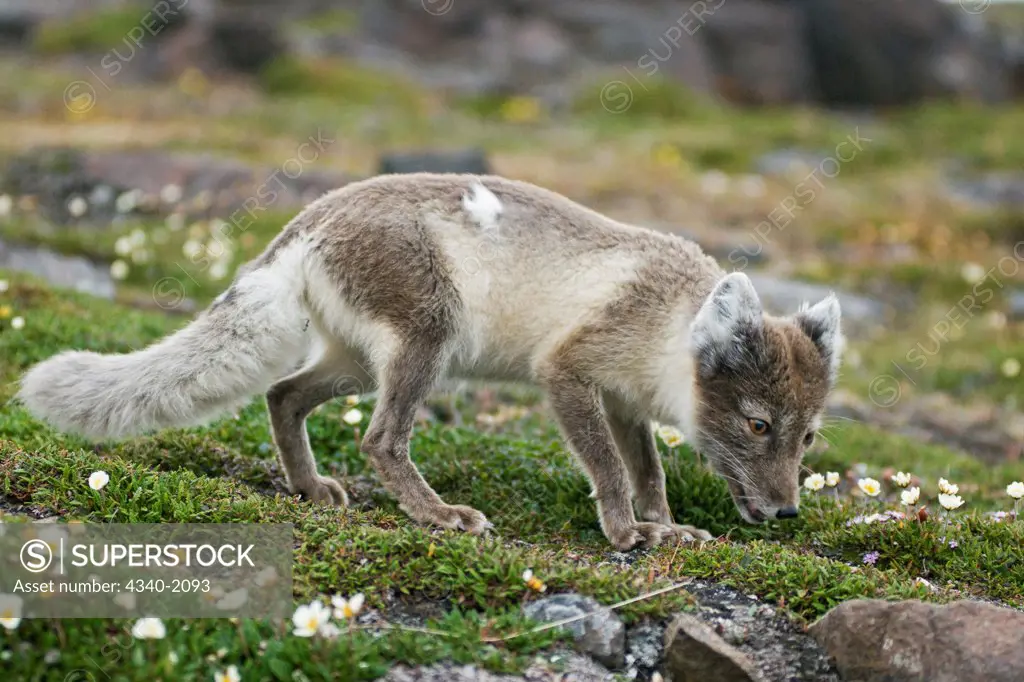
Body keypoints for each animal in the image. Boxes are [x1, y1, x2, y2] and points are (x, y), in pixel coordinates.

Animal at [19, 173, 843, 548]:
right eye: (759, 425)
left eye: (807, 438)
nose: (786, 512)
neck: (668, 319)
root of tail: (308, 219)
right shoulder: (570, 372)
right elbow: (611, 471)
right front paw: (626, 533)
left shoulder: (624, 402)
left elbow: (649, 472)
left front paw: (665, 527)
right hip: (428, 338)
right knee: (380, 437)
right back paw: (437, 514)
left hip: (358, 360)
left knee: (283, 394)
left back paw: (309, 487)